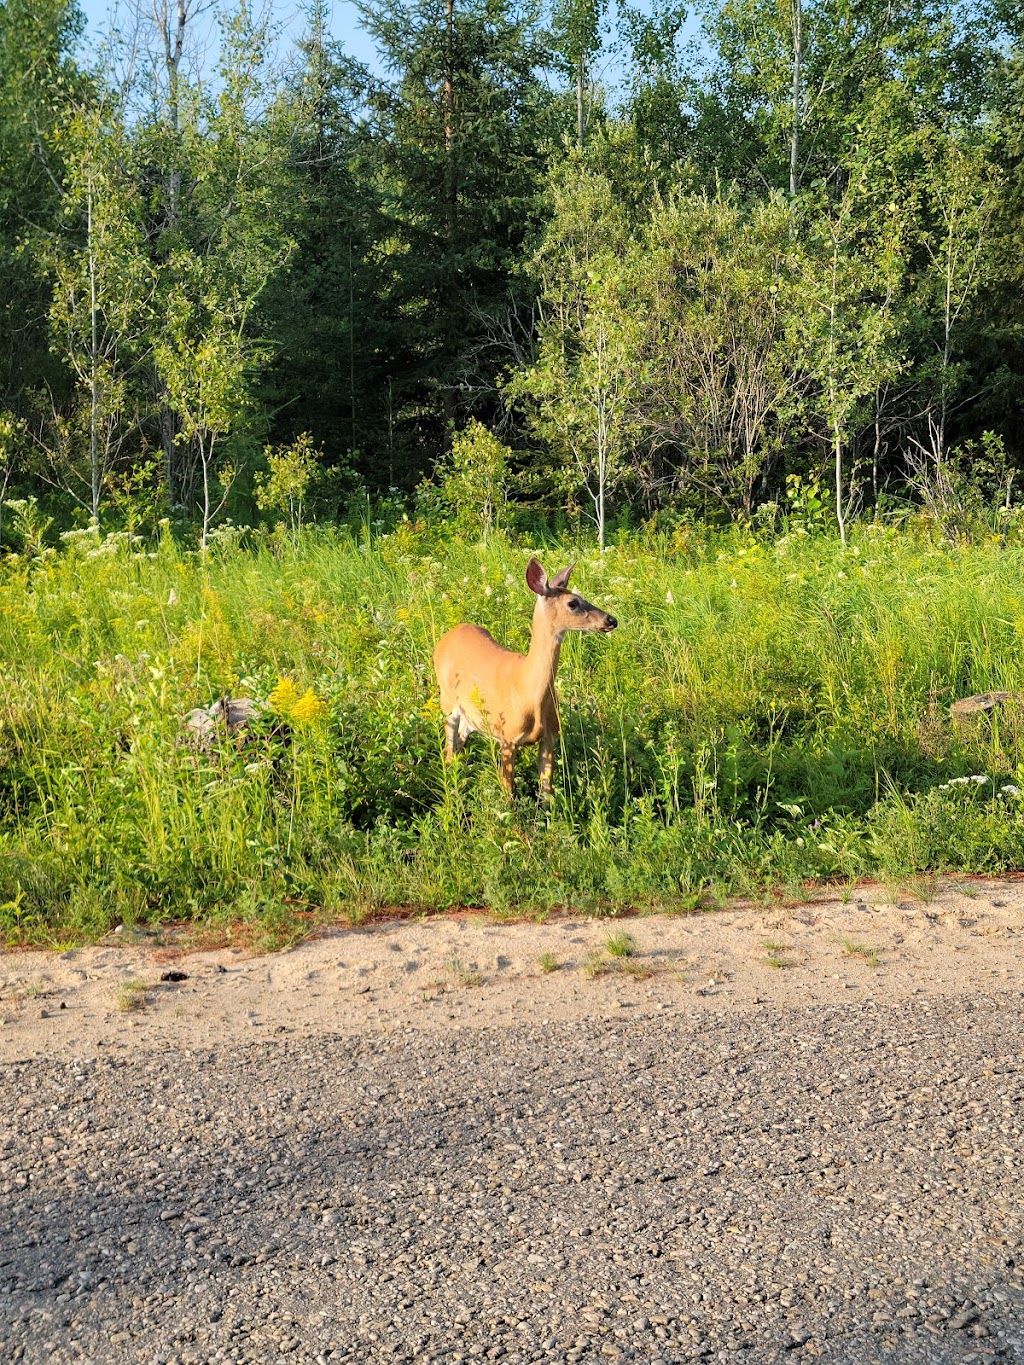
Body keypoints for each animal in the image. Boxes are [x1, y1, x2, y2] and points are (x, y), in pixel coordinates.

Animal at [434, 562, 617, 797]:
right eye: (573, 603)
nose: (611, 620)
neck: (528, 690)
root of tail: (449, 634)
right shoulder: (507, 737)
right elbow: (508, 792)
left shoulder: (550, 735)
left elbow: (547, 792)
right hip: (447, 699)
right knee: (448, 749)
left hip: (473, 714)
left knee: (461, 740)